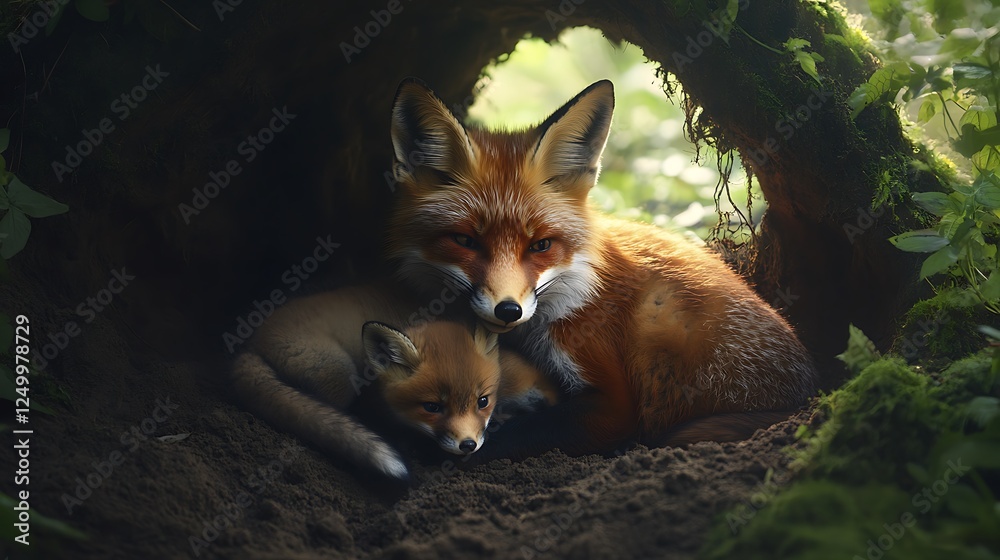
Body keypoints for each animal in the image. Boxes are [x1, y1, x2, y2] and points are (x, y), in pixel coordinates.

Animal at [385, 78, 819, 458]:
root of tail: (808, 390)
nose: (508, 310)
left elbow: (507, 438)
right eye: (466, 242)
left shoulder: (612, 398)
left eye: (541, 245)